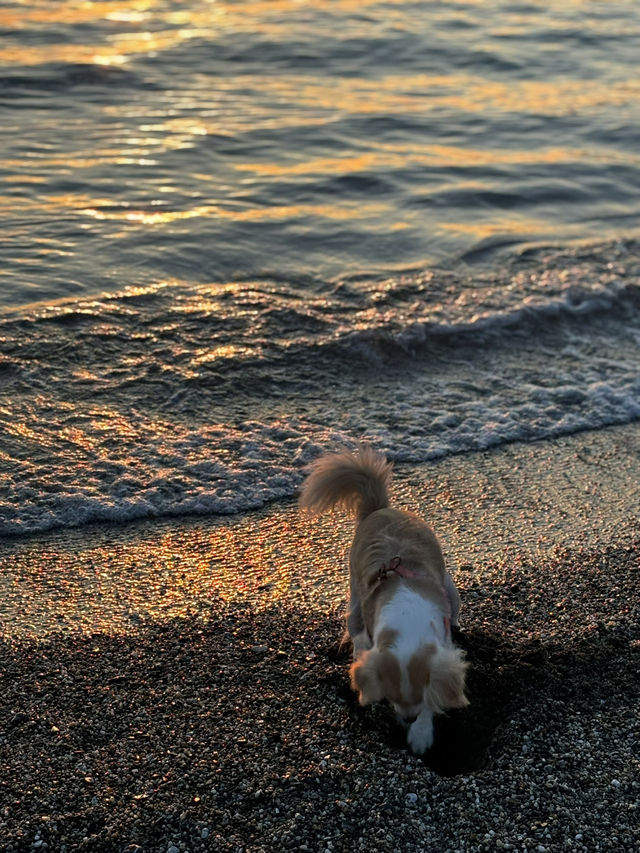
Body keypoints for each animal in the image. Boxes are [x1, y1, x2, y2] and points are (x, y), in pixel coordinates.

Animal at [298, 446, 468, 752]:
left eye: (419, 697)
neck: (407, 615)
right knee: (353, 623)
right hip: (355, 590)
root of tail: (381, 509)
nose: (408, 718)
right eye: (390, 698)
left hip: (451, 590)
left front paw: (421, 732)